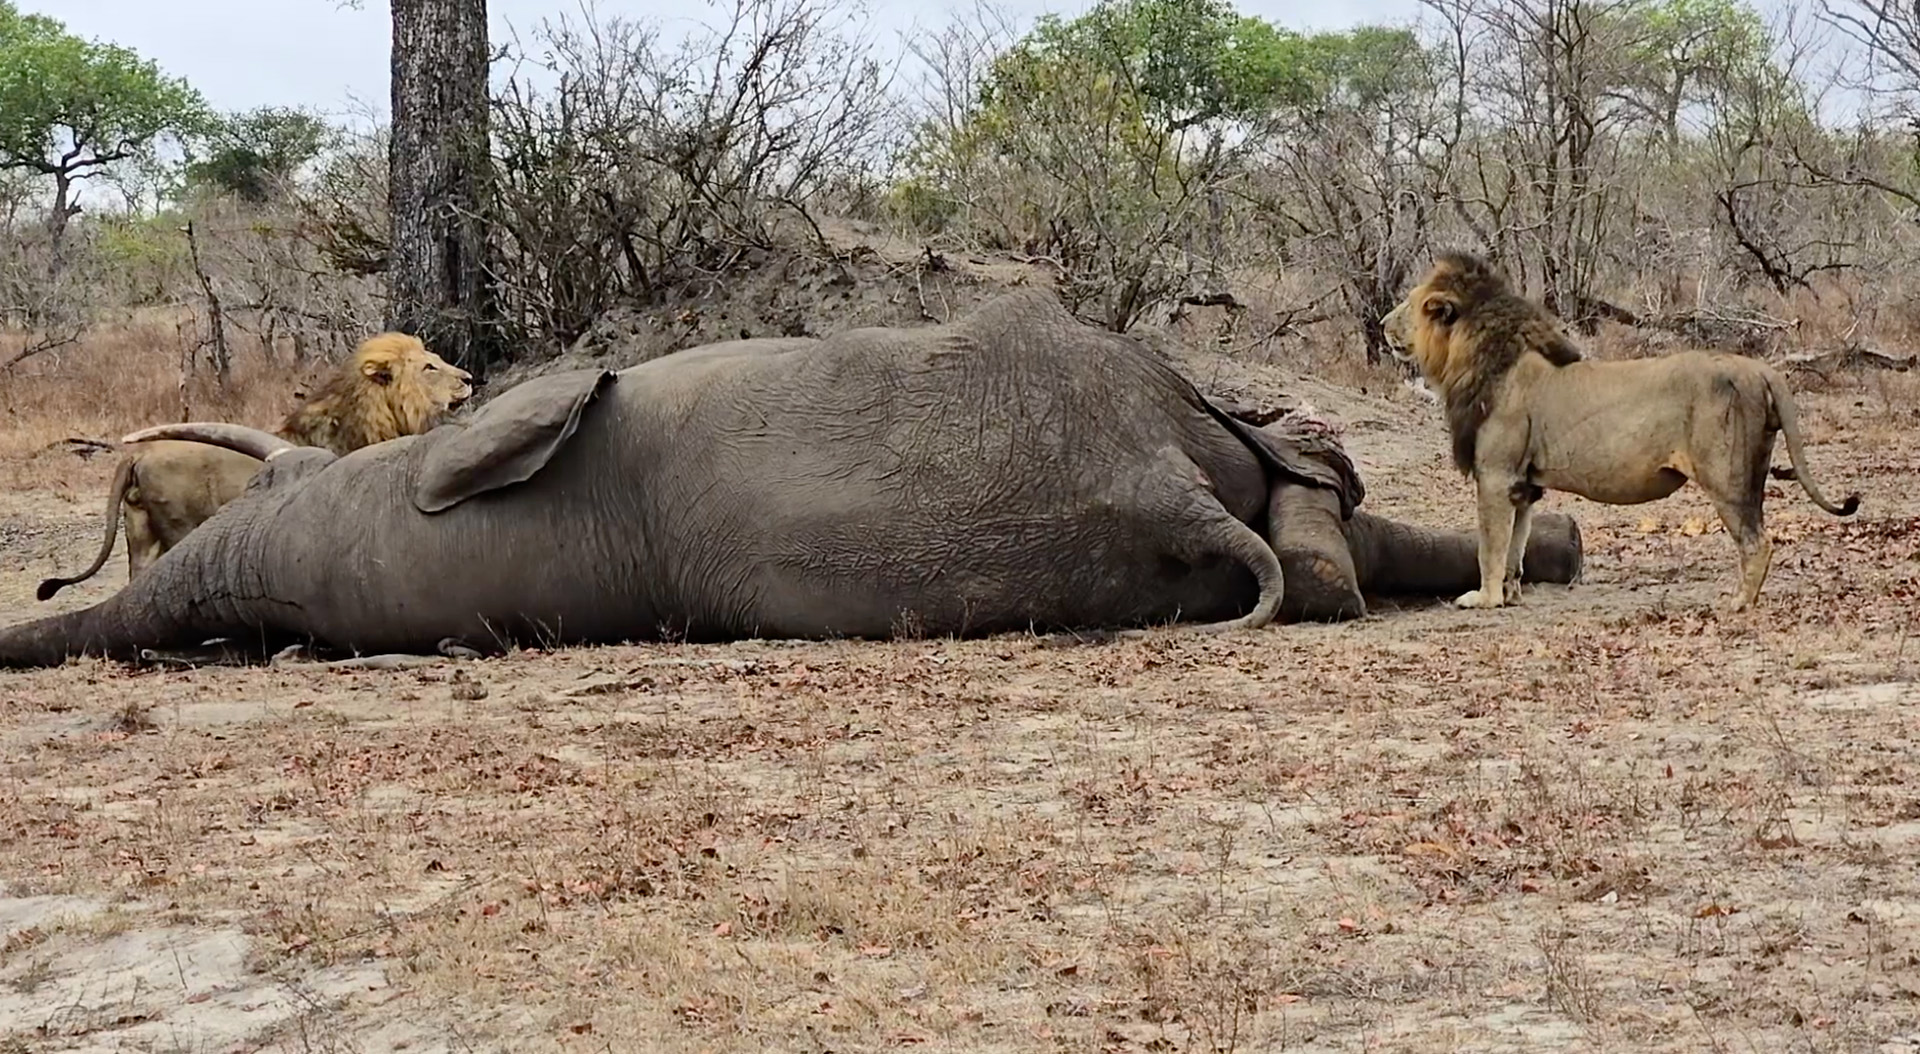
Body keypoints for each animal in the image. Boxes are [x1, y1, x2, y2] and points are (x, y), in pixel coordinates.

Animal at [1382, 251, 1858, 610]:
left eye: (1410, 304)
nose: (1384, 324)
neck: (1470, 359)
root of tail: (1761, 370)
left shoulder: (1496, 476)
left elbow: (1490, 546)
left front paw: (1483, 599)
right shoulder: (1522, 485)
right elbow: (1517, 545)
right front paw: (1511, 595)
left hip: (1727, 478)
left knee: (1758, 543)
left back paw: (1738, 603)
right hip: (1751, 471)